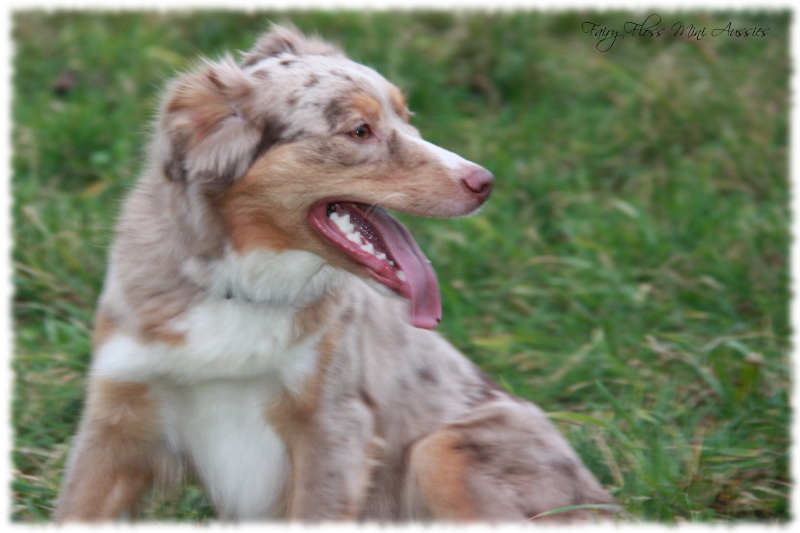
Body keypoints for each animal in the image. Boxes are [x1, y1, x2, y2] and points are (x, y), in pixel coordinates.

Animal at [56, 23, 612, 520]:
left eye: (408, 118)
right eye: (360, 131)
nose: (486, 182)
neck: (241, 287)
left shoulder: (334, 424)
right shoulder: (116, 414)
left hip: (439, 450)